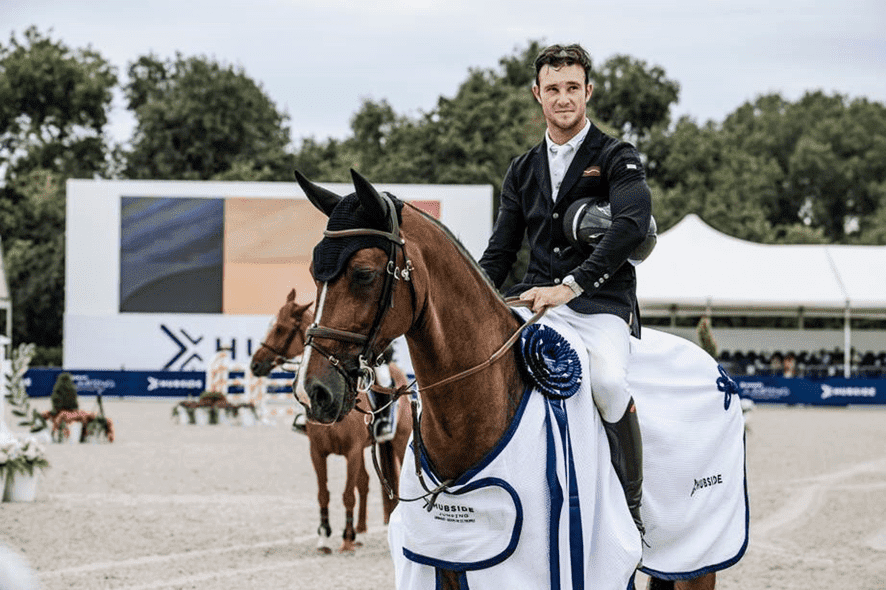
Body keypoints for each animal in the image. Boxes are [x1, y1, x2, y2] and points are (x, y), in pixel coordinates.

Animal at [251, 288, 412, 553]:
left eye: (281, 329)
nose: (255, 364)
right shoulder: (318, 451)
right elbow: (324, 493)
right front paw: (325, 537)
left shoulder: (352, 451)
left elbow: (347, 494)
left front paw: (345, 538)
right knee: (364, 483)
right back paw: (361, 531)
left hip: (397, 441)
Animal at [292, 169, 743, 589]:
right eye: (315, 271)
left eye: (364, 274)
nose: (313, 391)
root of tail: (719, 372)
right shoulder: (446, 566)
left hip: (699, 562)